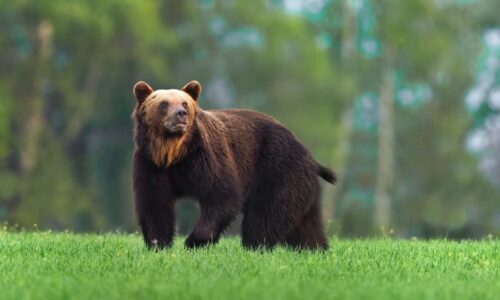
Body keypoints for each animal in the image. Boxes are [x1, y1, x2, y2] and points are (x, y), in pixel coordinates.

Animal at [132, 80, 336, 251]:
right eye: (164, 104)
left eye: (185, 104)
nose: (181, 114)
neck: (174, 153)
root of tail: (310, 156)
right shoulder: (151, 166)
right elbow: (154, 203)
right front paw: (158, 243)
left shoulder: (206, 159)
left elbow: (222, 195)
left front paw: (194, 241)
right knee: (305, 224)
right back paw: (315, 248)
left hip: (279, 171)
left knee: (267, 213)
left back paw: (255, 246)